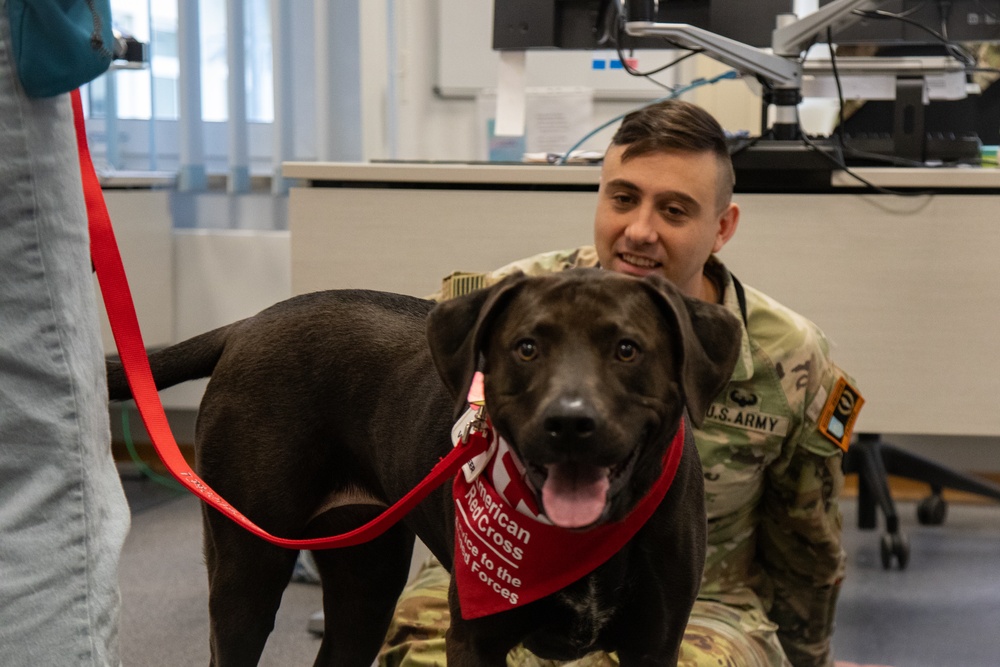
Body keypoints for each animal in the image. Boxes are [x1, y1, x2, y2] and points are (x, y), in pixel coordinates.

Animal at [107, 268, 744, 664]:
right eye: (527, 347)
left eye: (627, 349)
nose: (569, 423)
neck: (575, 538)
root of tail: (243, 327)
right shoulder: (475, 641)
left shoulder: (653, 648)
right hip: (247, 568)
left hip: (366, 580)